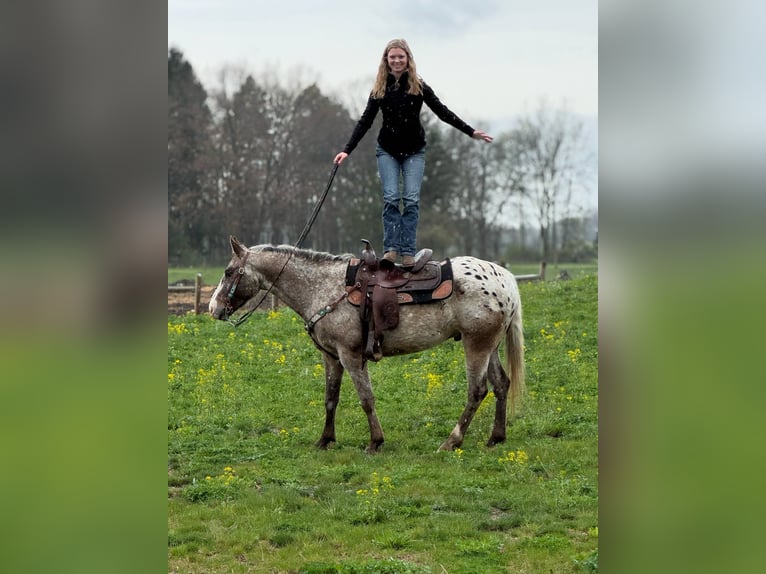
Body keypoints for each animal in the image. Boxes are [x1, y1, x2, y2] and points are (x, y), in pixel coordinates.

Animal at [209, 236, 525, 453]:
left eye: (228, 272)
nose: (213, 308)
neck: (324, 287)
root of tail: (506, 279)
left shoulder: (350, 356)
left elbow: (366, 398)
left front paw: (375, 442)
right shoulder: (331, 357)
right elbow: (331, 398)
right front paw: (325, 440)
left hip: (476, 344)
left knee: (477, 390)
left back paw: (451, 441)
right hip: (490, 346)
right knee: (501, 384)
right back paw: (496, 438)